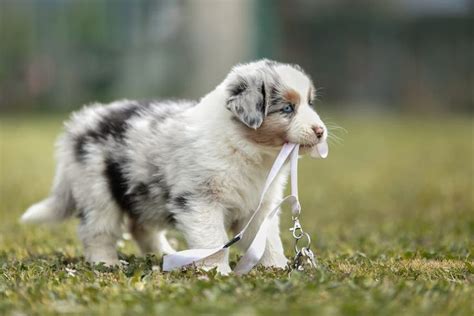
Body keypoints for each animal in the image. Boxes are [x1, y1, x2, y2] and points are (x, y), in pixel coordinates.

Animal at [21, 59, 326, 274]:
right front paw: (217, 272)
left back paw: (164, 255)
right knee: (97, 232)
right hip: (98, 193)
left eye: (310, 103)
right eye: (287, 108)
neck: (247, 148)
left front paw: (276, 268)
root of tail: (80, 122)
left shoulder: (259, 205)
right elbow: (213, 240)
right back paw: (107, 263)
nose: (321, 131)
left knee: (140, 228)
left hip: (143, 195)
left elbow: (268, 239)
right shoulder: (200, 201)